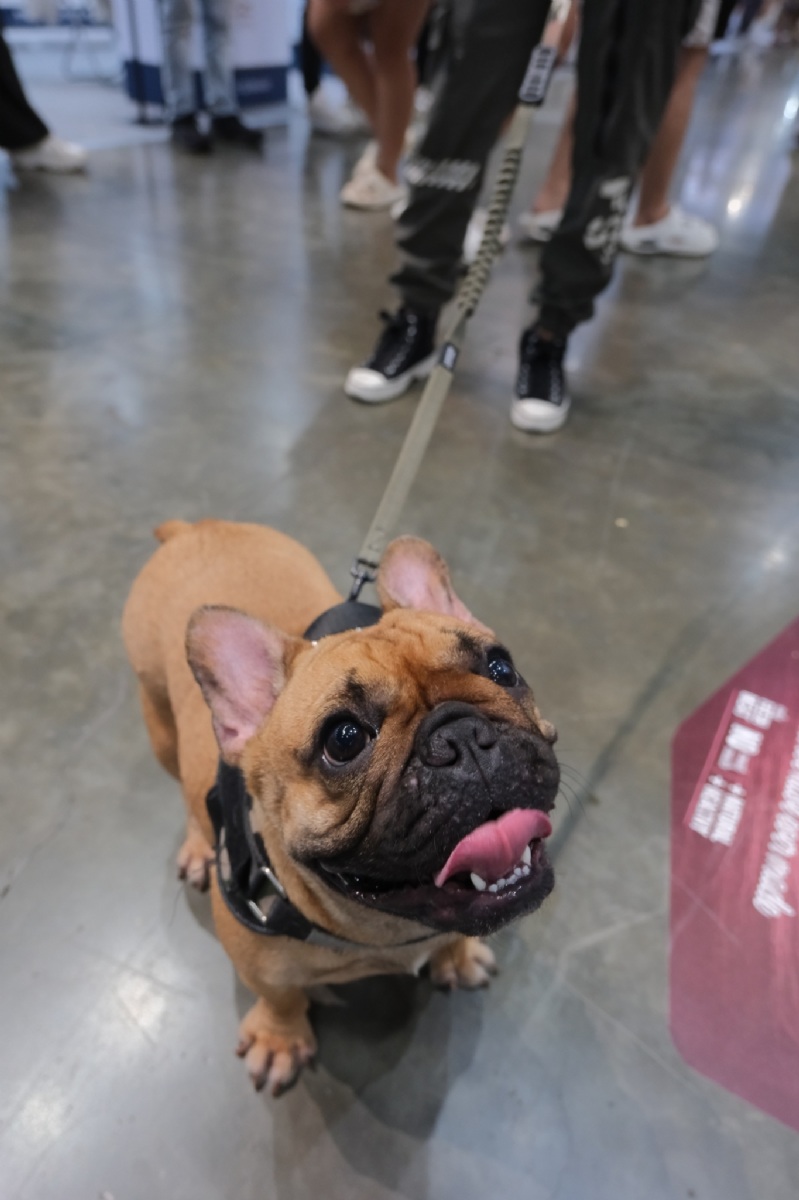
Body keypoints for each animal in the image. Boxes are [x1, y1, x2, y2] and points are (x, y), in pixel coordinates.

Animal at [122, 518, 559, 1095]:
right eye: (344, 739)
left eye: (502, 668)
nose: (461, 734)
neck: (388, 930)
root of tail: (193, 527)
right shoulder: (257, 959)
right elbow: (280, 994)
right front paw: (280, 1039)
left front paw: (457, 955)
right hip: (159, 725)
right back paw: (198, 846)